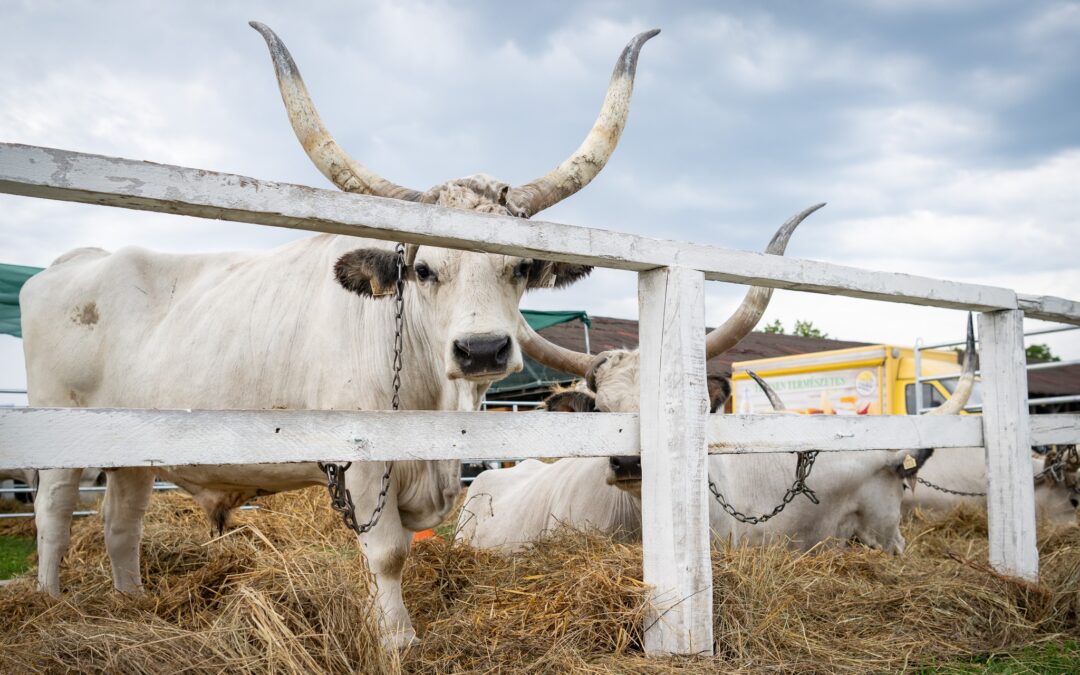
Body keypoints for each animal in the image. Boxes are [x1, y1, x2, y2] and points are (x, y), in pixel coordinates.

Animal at [19, 22, 656, 648]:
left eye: (520, 267)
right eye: (423, 270)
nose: (482, 350)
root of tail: (72, 263)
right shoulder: (362, 463)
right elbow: (389, 553)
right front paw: (397, 640)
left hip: (129, 450)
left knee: (120, 525)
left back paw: (132, 602)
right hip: (60, 437)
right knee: (53, 516)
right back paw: (50, 603)